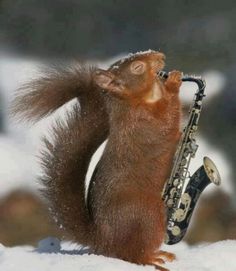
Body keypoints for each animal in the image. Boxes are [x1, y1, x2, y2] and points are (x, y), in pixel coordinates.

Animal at [11, 50, 183, 270]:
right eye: (137, 67)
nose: (160, 56)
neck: (134, 102)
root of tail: (104, 240)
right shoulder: (147, 123)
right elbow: (168, 118)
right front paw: (173, 83)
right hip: (149, 215)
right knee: (133, 255)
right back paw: (153, 260)